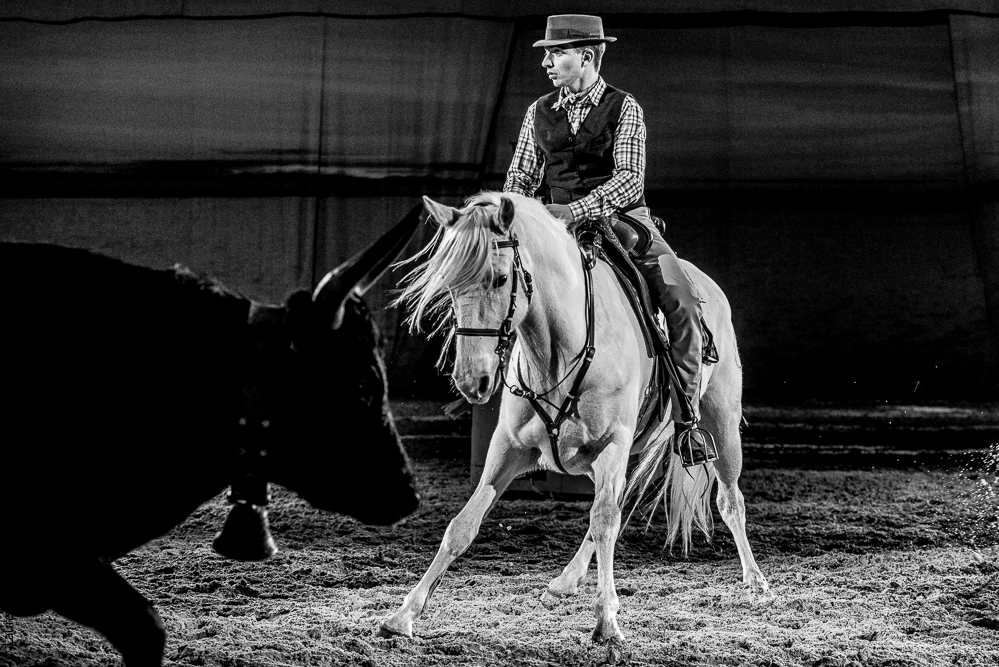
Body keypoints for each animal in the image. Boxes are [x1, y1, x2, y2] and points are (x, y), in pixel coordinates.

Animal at [382, 191, 771, 643]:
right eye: (449, 283)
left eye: (500, 278)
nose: (470, 380)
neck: (559, 351)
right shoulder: (508, 449)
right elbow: (462, 525)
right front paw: (403, 614)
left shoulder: (613, 444)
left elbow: (603, 520)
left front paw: (607, 619)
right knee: (617, 503)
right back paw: (567, 580)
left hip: (720, 421)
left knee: (728, 500)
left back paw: (756, 581)